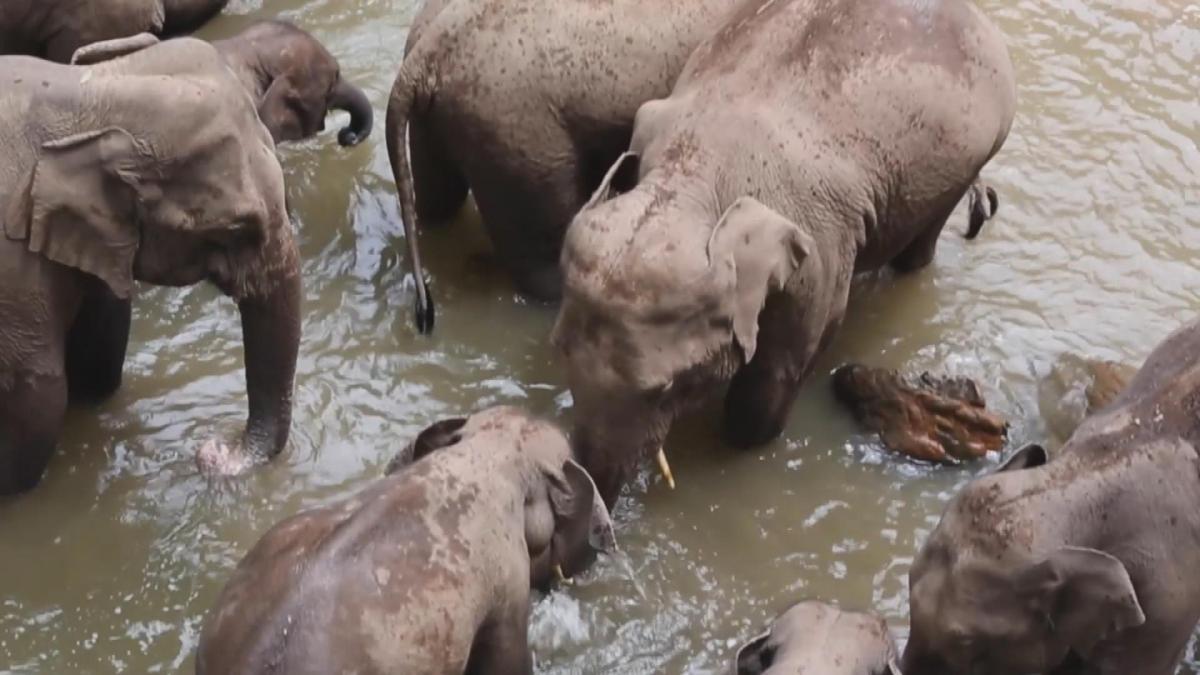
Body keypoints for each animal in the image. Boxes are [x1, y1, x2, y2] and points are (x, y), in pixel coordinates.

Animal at [0, 37, 300, 495]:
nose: (212, 449)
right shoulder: (11, 265)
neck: (89, 92)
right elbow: (35, 394)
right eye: (238, 227)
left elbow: (100, 351)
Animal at [551, 0, 1017, 506]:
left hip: (978, 150)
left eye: (664, 388)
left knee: (920, 247)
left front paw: (742, 439)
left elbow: (790, 358)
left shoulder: (820, 245)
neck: (694, 173)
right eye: (560, 350)